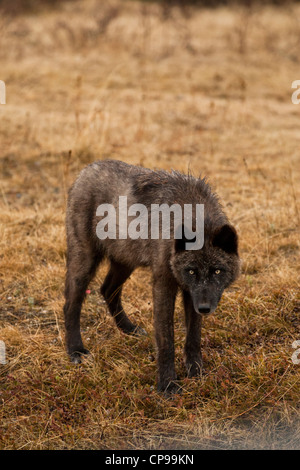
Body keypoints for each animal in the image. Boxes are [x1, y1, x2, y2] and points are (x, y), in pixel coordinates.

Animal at [62, 160, 239, 394]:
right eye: (191, 271)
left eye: (217, 271)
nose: (204, 308)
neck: (194, 216)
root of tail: (87, 169)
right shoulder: (164, 285)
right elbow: (166, 340)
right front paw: (168, 386)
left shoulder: (191, 294)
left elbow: (193, 336)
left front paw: (197, 373)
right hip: (85, 263)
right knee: (71, 304)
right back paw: (76, 350)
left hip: (125, 262)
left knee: (107, 289)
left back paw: (128, 329)